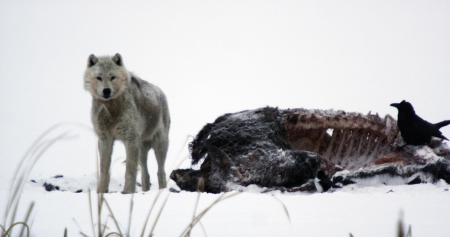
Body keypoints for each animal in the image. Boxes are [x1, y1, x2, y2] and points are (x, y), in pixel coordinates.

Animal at [83, 53, 170, 193]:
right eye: (99, 77)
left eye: (112, 77)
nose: (106, 91)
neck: (111, 110)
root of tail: (160, 92)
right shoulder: (105, 139)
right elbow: (104, 170)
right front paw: (101, 192)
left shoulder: (131, 139)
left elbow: (130, 170)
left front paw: (127, 192)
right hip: (142, 150)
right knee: (146, 174)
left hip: (159, 145)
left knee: (160, 172)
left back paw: (162, 190)